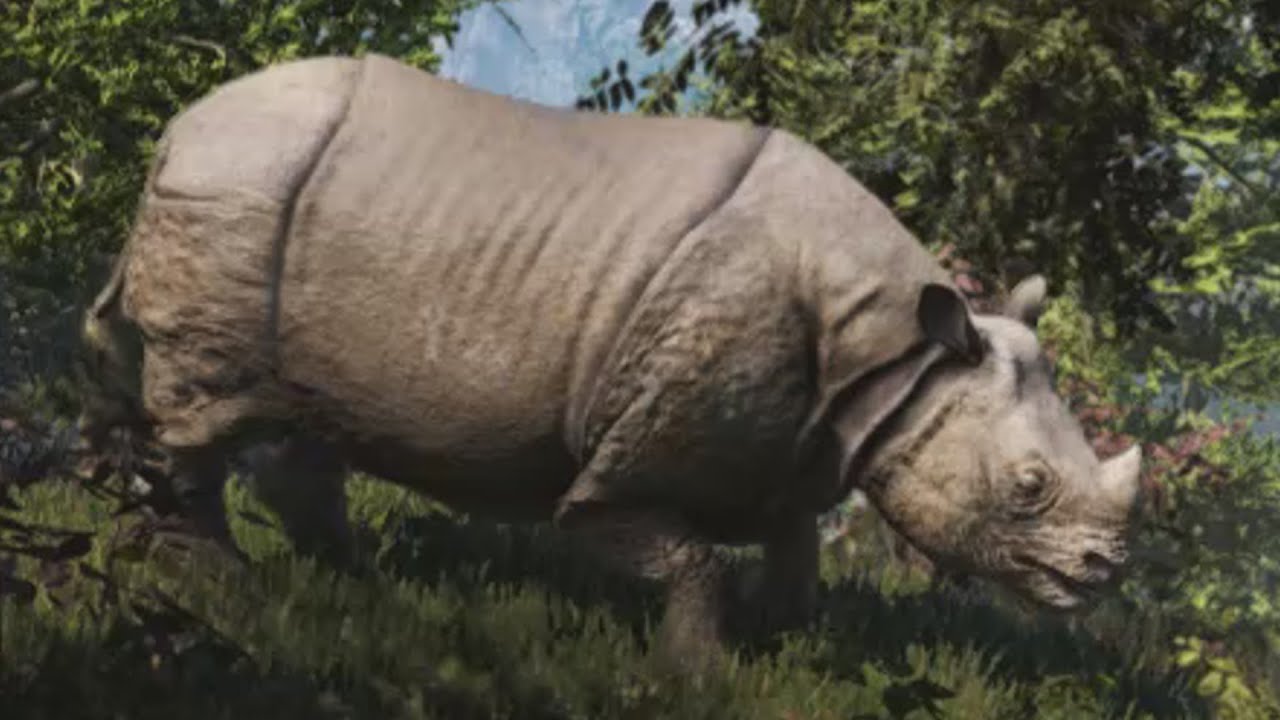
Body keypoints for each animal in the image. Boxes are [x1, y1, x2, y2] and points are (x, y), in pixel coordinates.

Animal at [77, 53, 1142, 667]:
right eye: (1030, 487)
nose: (1101, 576)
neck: (901, 355)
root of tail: (179, 127)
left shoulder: (801, 445)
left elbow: (793, 556)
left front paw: (777, 647)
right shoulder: (632, 462)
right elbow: (674, 552)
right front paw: (699, 674)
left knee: (293, 413)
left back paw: (351, 583)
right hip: (241, 187)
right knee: (208, 409)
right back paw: (216, 582)